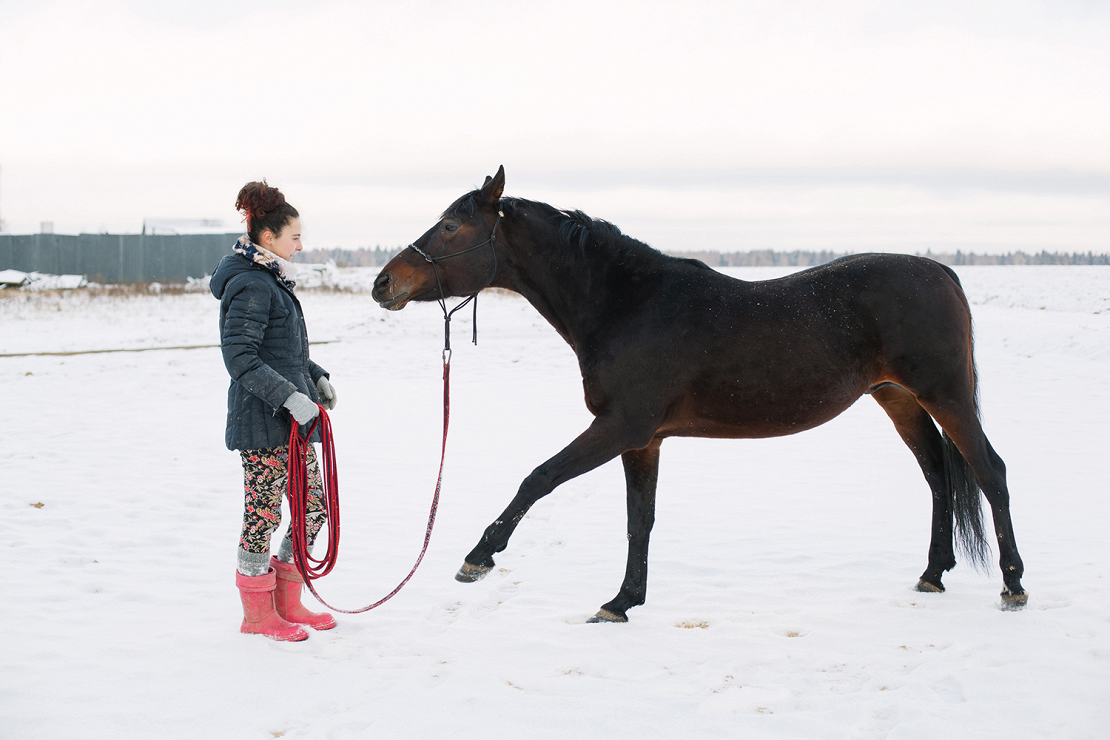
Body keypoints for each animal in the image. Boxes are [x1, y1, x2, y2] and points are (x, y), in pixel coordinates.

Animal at [368, 165, 1025, 621]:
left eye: (451, 225)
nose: (383, 283)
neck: (627, 305)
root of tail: (941, 272)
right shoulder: (644, 441)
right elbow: (639, 519)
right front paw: (622, 601)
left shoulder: (620, 427)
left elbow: (539, 478)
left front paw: (479, 557)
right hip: (898, 399)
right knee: (938, 476)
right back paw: (933, 573)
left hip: (946, 396)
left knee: (989, 472)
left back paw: (1013, 584)